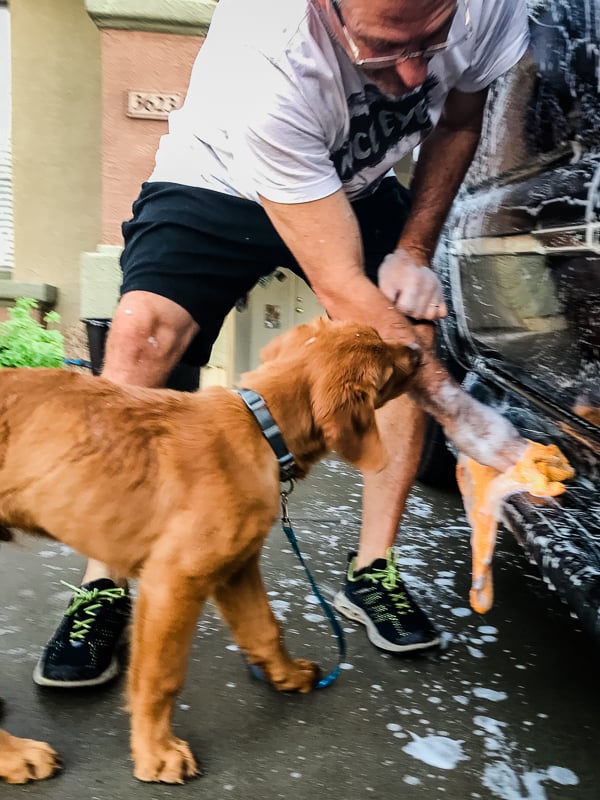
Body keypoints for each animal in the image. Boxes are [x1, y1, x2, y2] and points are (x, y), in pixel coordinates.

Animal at [0, 318, 420, 780]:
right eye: (388, 366)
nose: (420, 351)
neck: (261, 427)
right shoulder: (174, 581)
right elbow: (160, 677)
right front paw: (157, 752)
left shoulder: (237, 566)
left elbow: (264, 628)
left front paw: (287, 675)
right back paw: (18, 755)